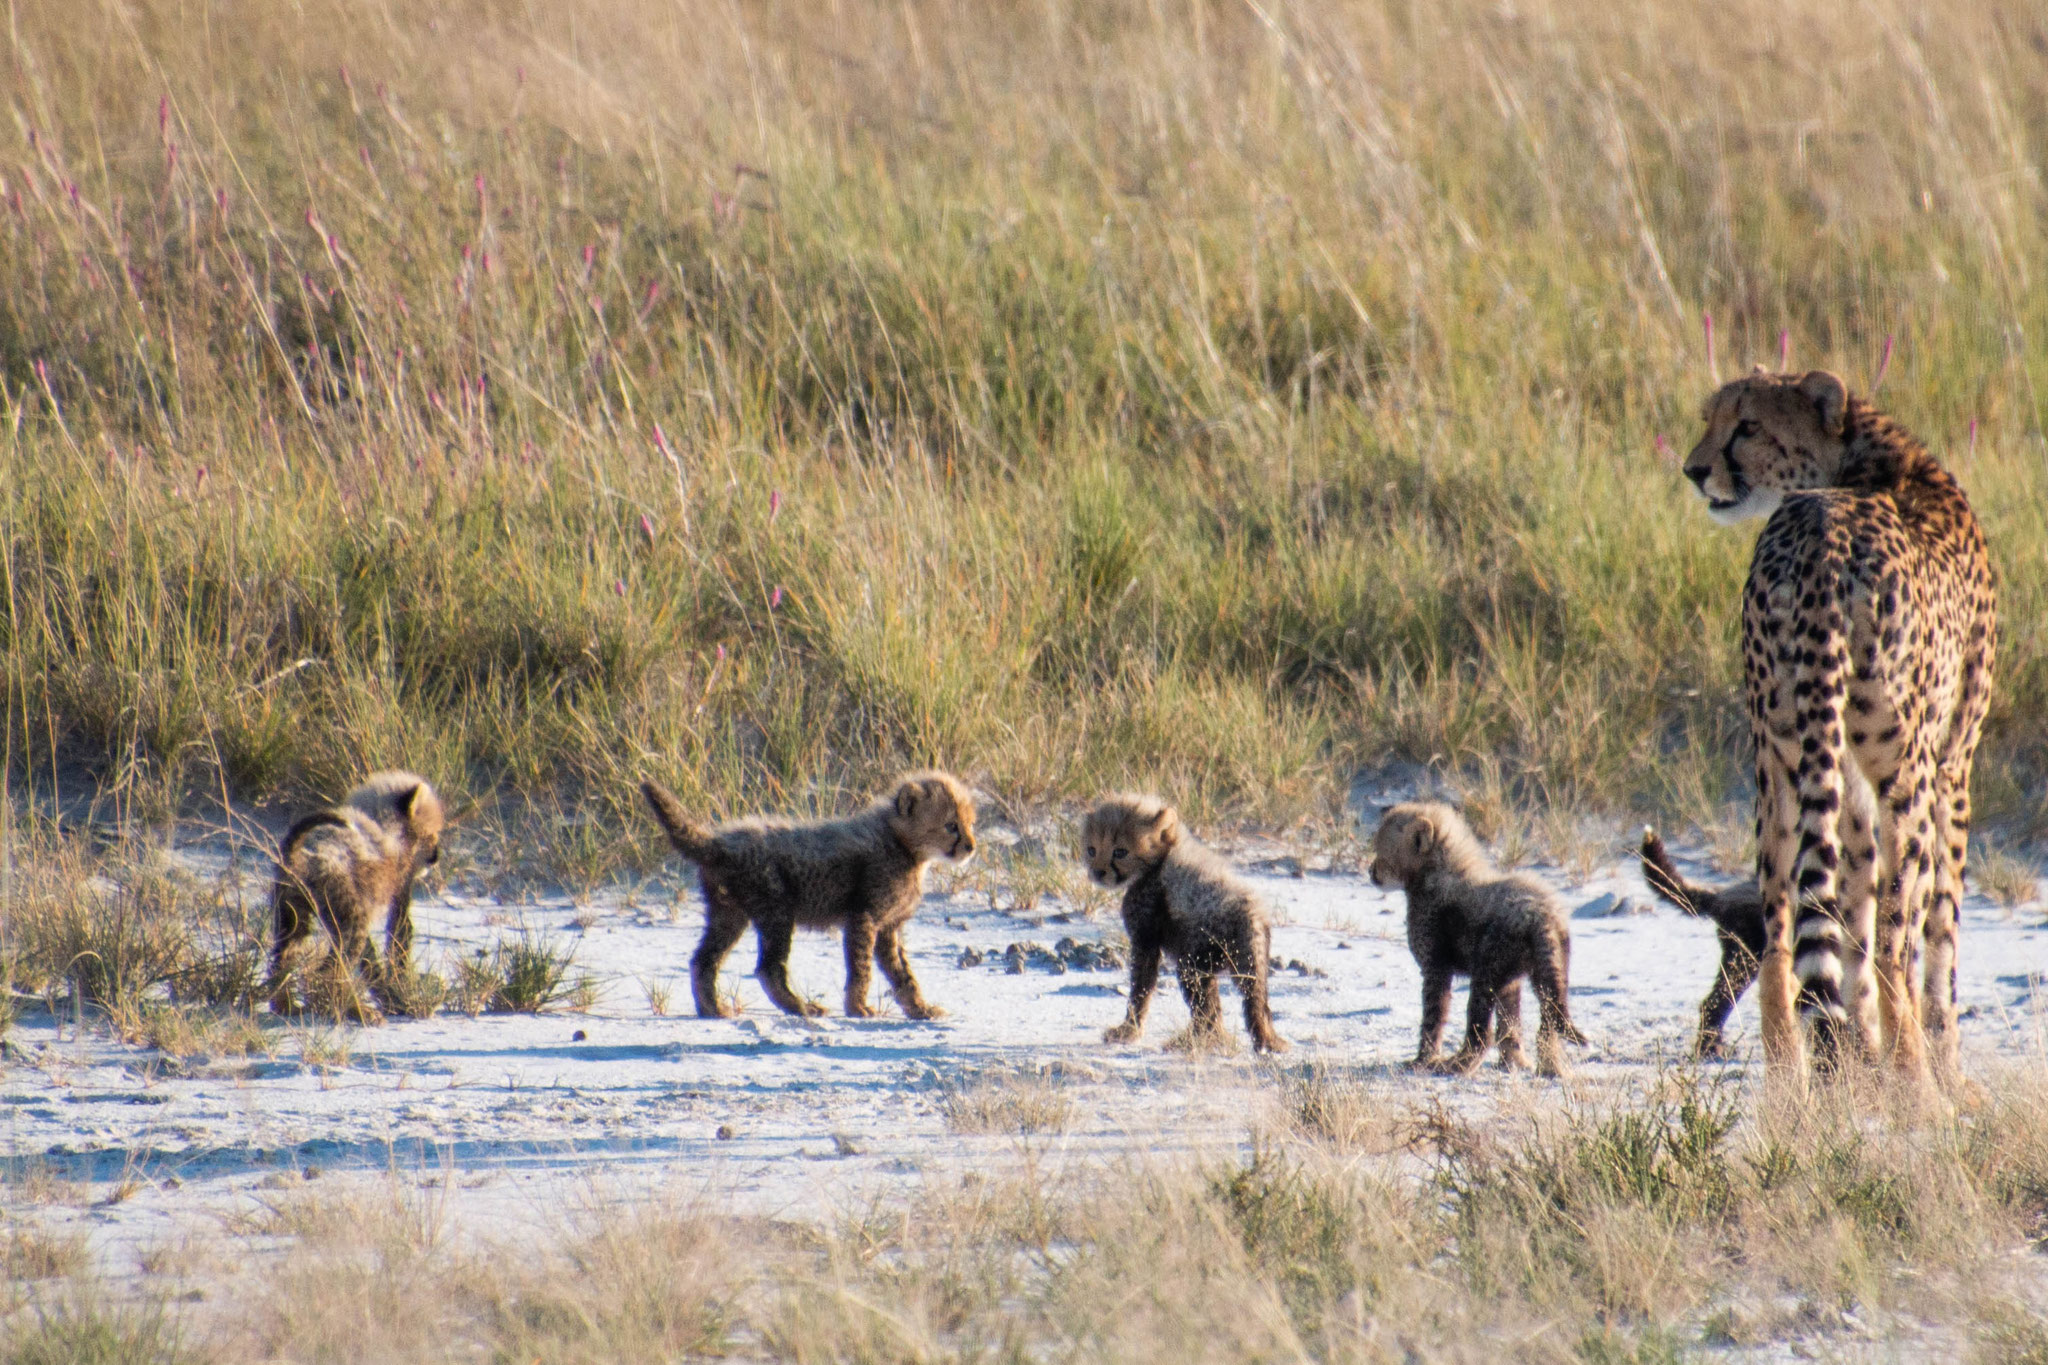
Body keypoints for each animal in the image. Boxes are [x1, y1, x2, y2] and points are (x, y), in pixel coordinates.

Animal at [1679, 368, 1998, 1096]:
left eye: (1746, 425)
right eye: (1714, 419)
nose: (1694, 470)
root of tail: (1819, 536)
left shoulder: (1844, 781)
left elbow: (1847, 914)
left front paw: (1854, 1062)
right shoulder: (1952, 768)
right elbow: (1941, 934)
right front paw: (1942, 1069)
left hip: (1777, 760)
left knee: (1779, 937)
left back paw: (1791, 1091)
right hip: (1905, 770)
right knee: (1896, 945)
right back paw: (1920, 1093)